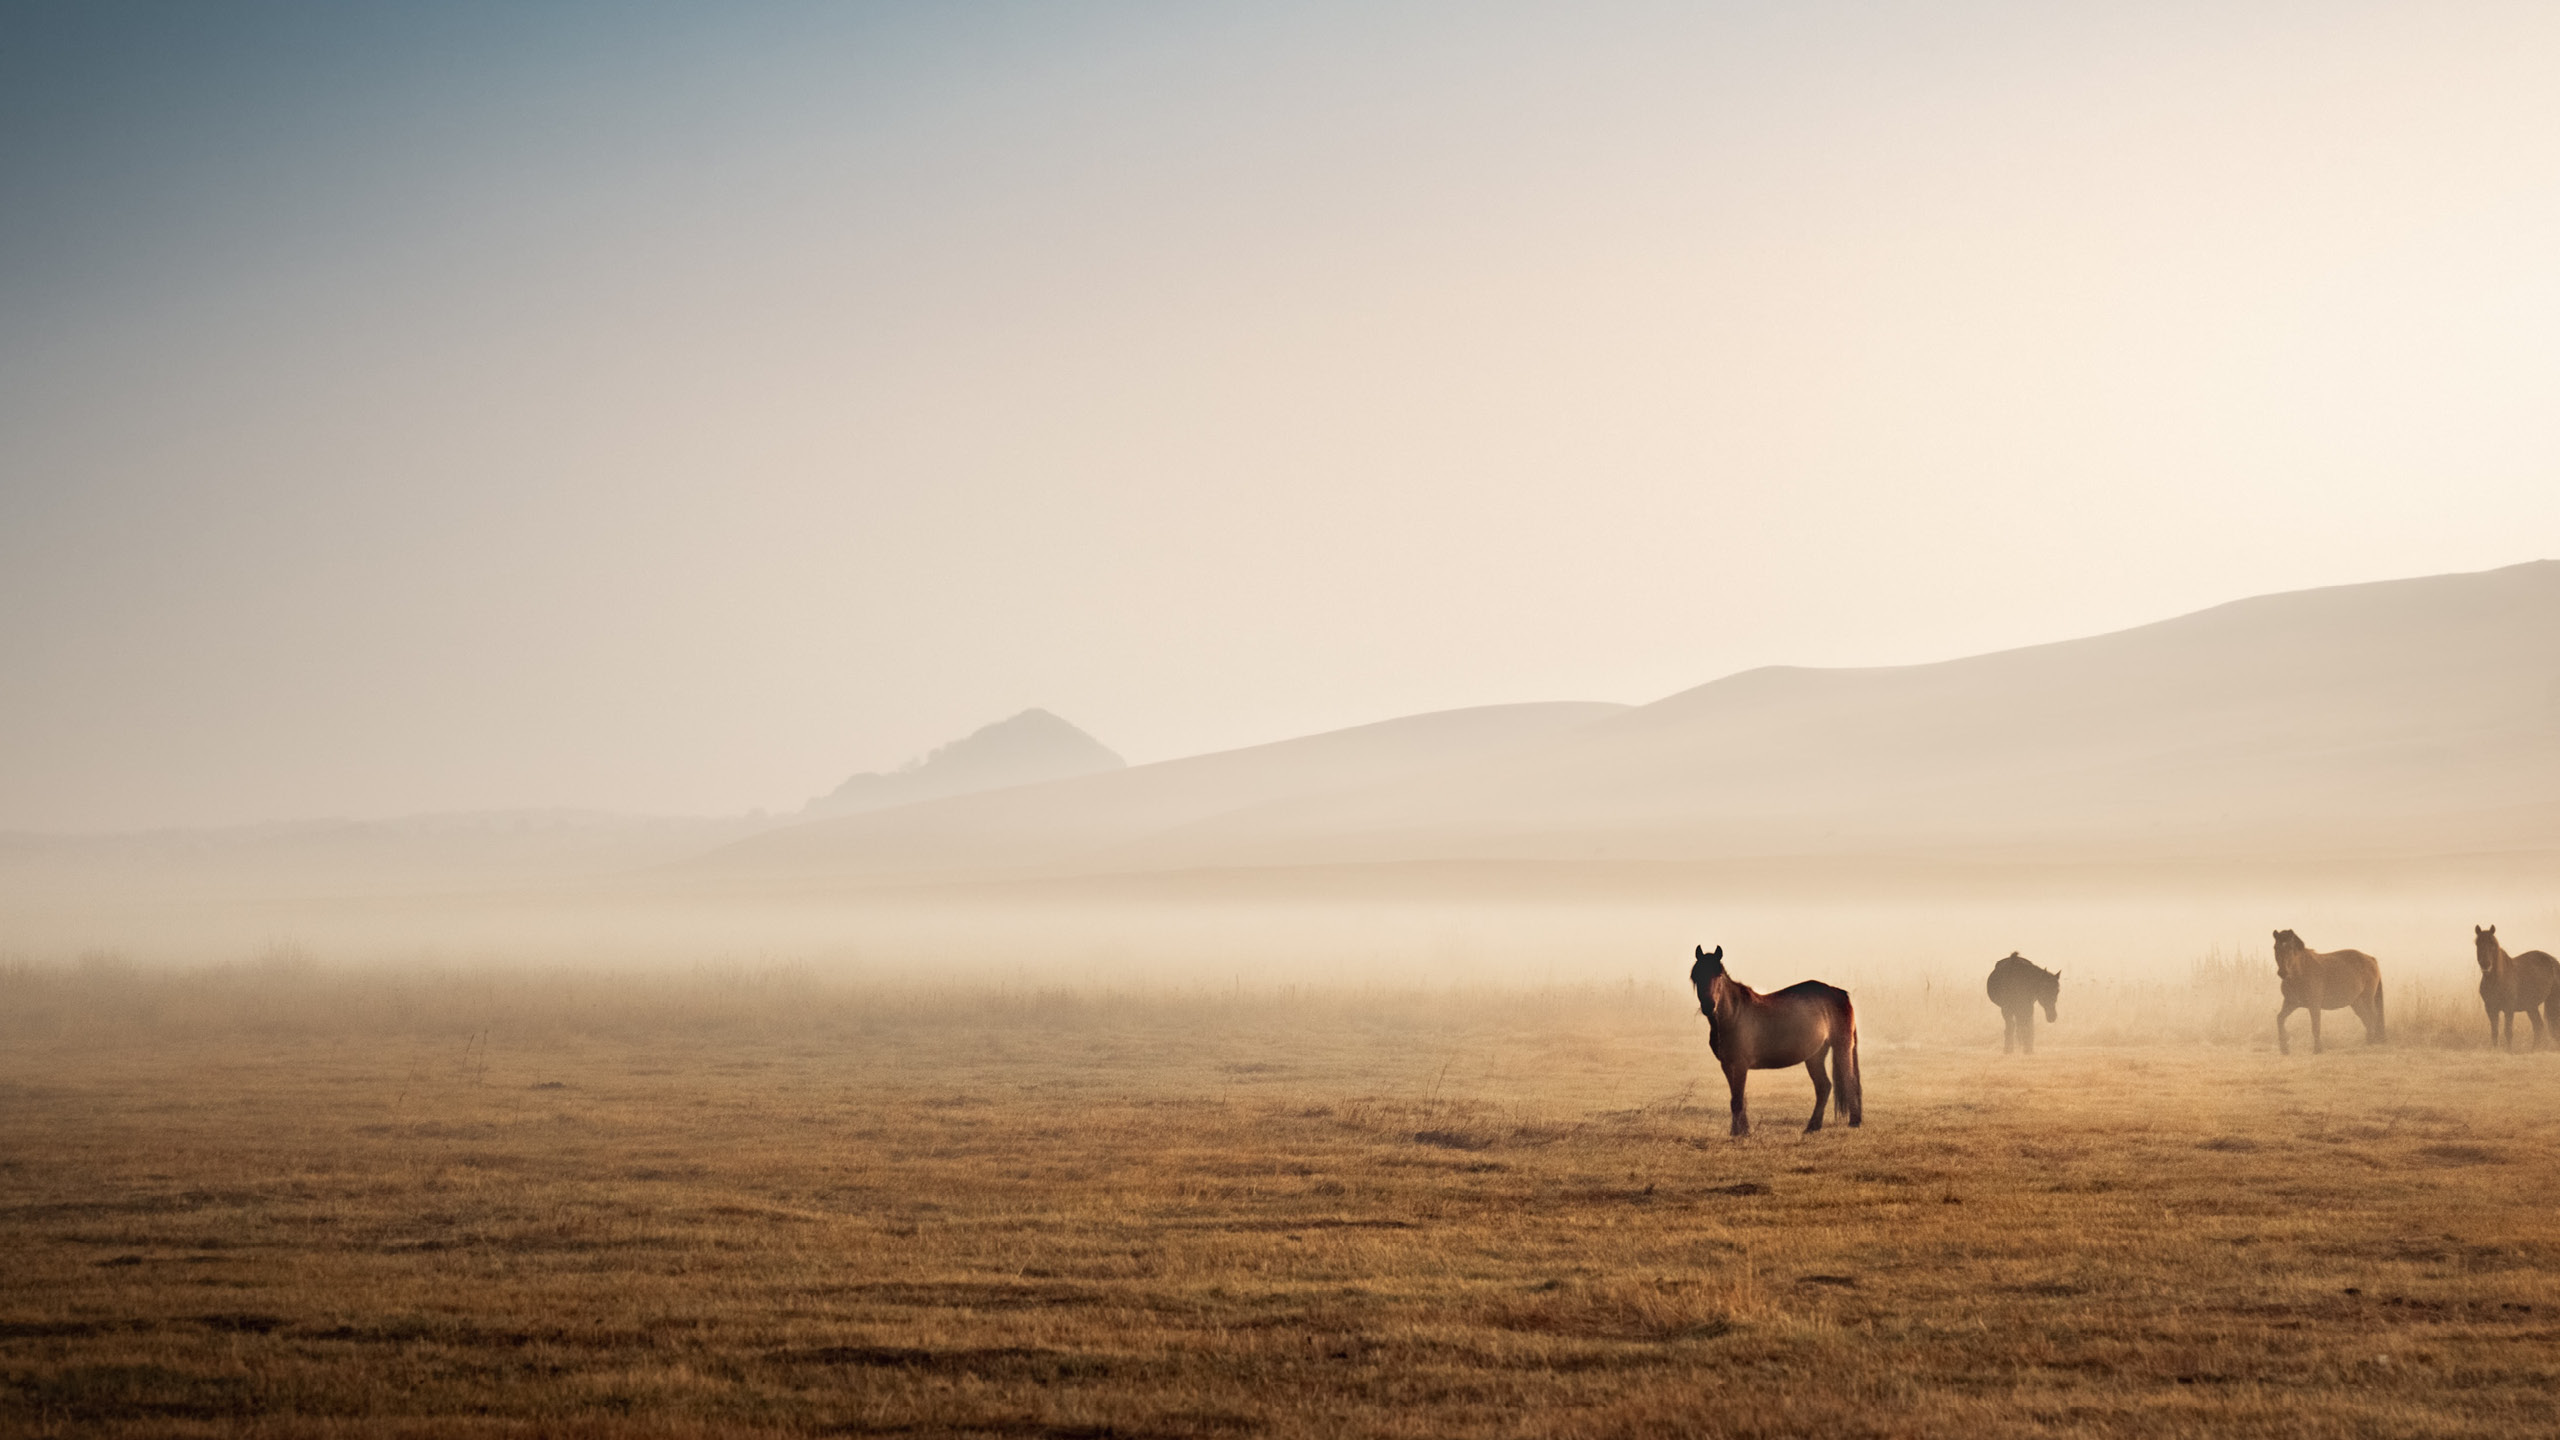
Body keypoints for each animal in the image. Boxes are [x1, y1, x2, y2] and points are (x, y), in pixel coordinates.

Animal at [1679, 942, 1863, 1132]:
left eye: (1719, 975)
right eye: (1696, 976)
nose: (1709, 1006)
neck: (1733, 1016)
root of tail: (1839, 993)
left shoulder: (1740, 1064)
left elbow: (1737, 1100)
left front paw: (1740, 1133)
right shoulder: (1727, 1064)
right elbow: (1736, 1099)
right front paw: (1740, 1130)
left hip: (1842, 1046)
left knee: (1849, 1081)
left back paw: (1854, 1122)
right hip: (1815, 1055)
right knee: (1824, 1087)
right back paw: (1812, 1127)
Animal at [2273, 922, 2385, 1050]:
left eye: (2290, 948)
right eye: (2275, 948)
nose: (2283, 972)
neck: (2300, 973)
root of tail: (2371, 959)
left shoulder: (2314, 1005)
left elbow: (2316, 1026)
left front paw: (2318, 1049)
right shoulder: (2291, 1003)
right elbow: (2280, 1019)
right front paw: (2284, 1047)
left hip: (2367, 998)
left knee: (2373, 1017)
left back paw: (2372, 1043)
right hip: (2356, 1002)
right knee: (2366, 1019)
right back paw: (2368, 1042)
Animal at [2467, 922, 2549, 1050]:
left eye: (2492, 944)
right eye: (2478, 944)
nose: (2486, 965)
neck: (2497, 980)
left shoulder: (2509, 1008)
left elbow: (2508, 1031)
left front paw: (2510, 1051)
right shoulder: (2490, 1008)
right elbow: (2494, 1032)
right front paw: (2495, 1050)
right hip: (2531, 1006)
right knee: (2538, 1026)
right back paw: (2533, 1049)